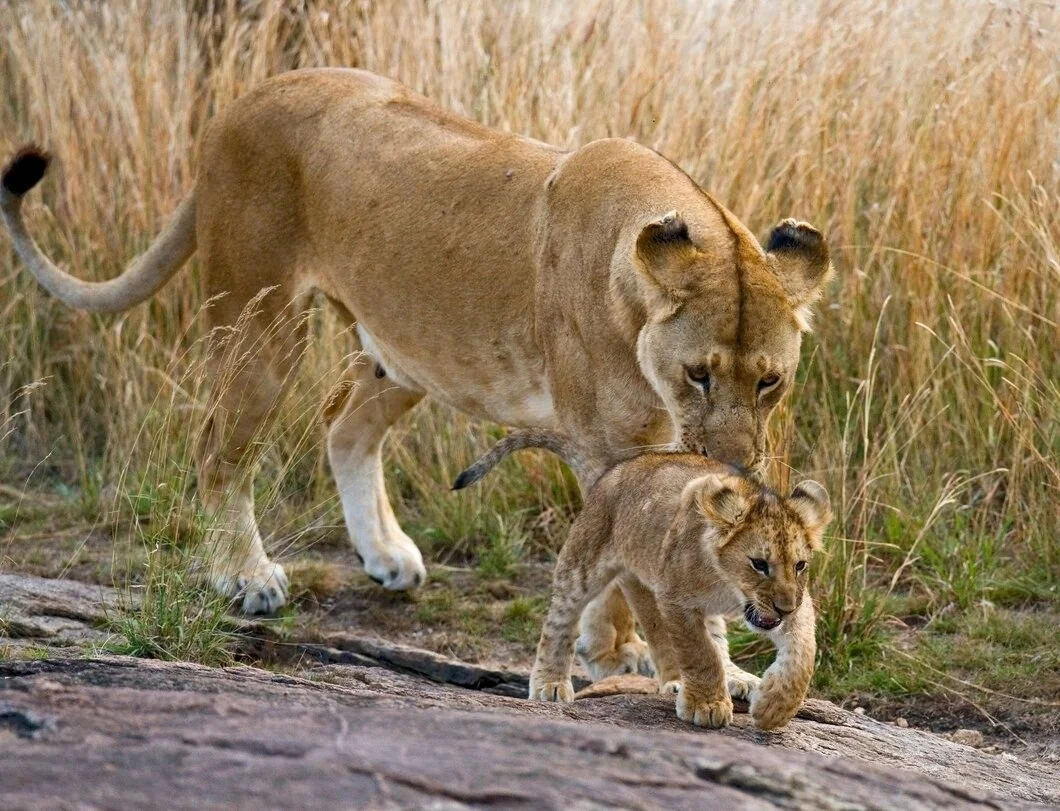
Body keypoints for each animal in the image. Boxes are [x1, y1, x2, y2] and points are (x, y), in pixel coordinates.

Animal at [0, 68, 831, 681]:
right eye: (699, 374)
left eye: (769, 381)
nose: (734, 464)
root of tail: (247, 96)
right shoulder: (604, 443)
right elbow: (631, 563)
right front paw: (634, 653)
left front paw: (689, 663)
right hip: (259, 320)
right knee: (217, 446)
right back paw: (246, 575)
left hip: (407, 347)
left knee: (343, 422)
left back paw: (385, 556)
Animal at [454, 430, 831, 729]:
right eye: (759, 564)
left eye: (799, 565)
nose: (783, 609)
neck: (727, 585)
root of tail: (611, 471)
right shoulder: (675, 598)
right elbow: (699, 653)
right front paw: (706, 705)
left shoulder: (797, 601)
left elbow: (803, 652)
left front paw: (774, 708)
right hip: (585, 563)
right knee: (559, 621)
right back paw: (550, 684)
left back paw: (726, 680)